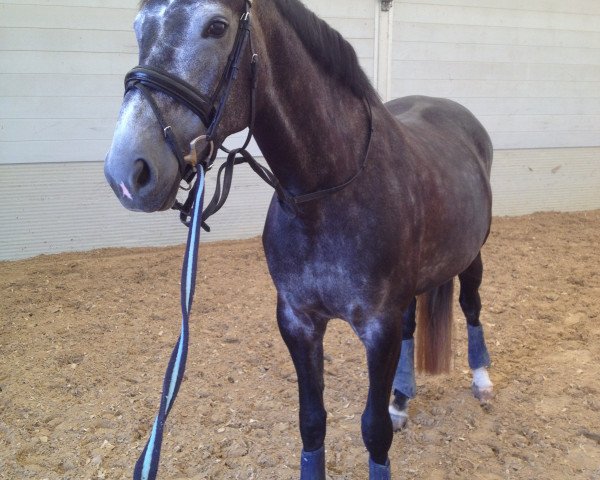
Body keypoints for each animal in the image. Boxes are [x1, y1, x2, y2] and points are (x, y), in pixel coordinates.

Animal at [104, 0, 492, 476]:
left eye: (216, 26)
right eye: (139, 27)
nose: (127, 172)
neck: (328, 196)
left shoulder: (377, 328)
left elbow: (374, 432)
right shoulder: (297, 321)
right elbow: (311, 423)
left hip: (472, 255)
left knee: (471, 307)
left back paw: (482, 381)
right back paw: (401, 400)